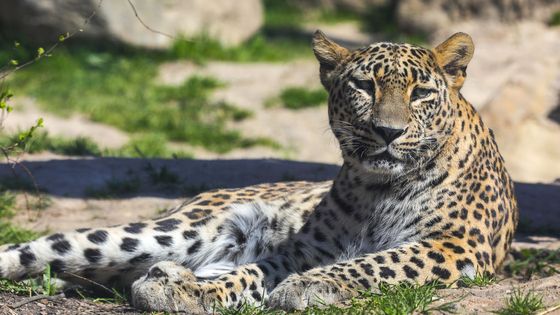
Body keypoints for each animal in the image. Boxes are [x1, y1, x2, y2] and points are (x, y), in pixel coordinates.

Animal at [0, 31, 520, 314]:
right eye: (363, 86)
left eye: (420, 94)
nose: (387, 132)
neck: (378, 187)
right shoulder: (304, 249)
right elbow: (255, 270)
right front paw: (202, 292)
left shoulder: (455, 245)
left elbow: (378, 261)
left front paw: (310, 285)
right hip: (171, 231)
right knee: (42, 250)